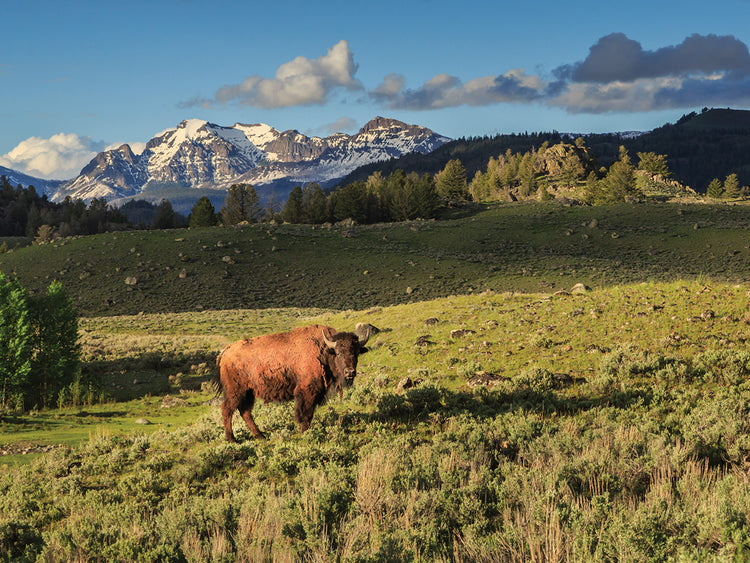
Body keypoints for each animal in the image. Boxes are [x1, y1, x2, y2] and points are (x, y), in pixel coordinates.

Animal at [215, 324, 369, 442]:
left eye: (356, 353)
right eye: (338, 353)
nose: (350, 372)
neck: (323, 351)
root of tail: (226, 351)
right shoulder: (307, 391)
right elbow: (306, 413)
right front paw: (305, 432)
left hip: (248, 392)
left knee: (245, 412)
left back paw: (260, 436)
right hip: (236, 391)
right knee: (227, 409)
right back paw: (232, 439)